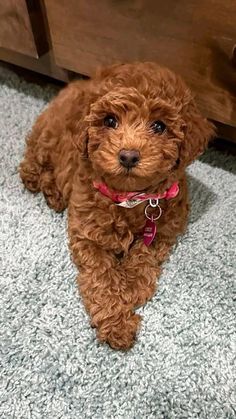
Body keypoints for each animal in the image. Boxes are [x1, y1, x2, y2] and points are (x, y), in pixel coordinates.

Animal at [20, 62, 215, 352]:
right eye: (109, 121)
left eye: (159, 126)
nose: (128, 156)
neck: (130, 198)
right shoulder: (88, 236)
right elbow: (102, 278)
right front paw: (117, 324)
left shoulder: (164, 230)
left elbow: (144, 257)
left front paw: (131, 287)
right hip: (45, 139)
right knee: (31, 166)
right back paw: (50, 191)